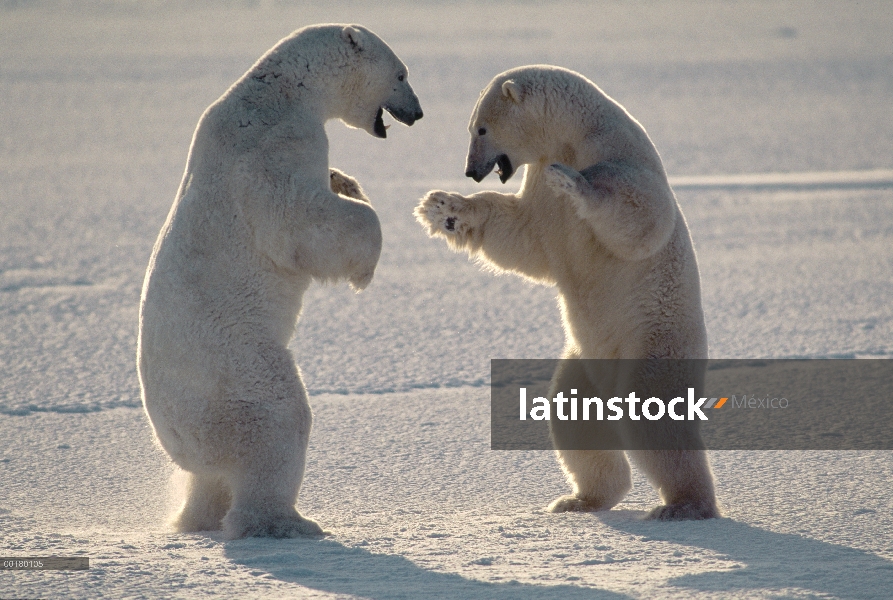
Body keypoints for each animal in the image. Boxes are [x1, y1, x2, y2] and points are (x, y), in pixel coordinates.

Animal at [137, 24, 422, 540]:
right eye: (401, 73)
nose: (418, 112)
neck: (282, 89)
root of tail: (174, 435)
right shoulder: (274, 146)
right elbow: (300, 219)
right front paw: (365, 265)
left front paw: (344, 180)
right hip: (237, 368)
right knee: (278, 422)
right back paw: (287, 522)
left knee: (210, 478)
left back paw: (198, 518)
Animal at [416, 65, 716, 520]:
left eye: (481, 128)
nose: (470, 170)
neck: (573, 134)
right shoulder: (538, 187)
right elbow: (523, 237)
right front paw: (443, 206)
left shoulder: (622, 154)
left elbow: (642, 218)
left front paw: (575, 184)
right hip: (584, 363)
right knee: (572, 416)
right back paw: (581, 499)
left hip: (652, 340)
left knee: (653, 416)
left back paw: (685, 505)